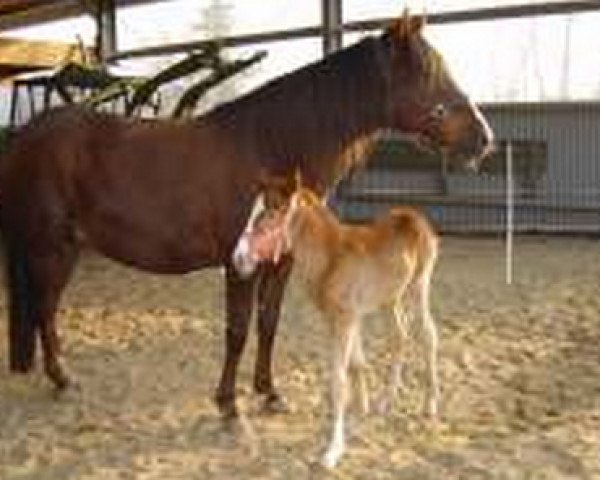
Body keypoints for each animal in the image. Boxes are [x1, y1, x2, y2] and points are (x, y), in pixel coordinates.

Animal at [232, 188, 438, 468]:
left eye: (269, 214)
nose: (238, 259)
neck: (331, 258)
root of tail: (415, 217)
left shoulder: (345, 320)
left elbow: (339, 382)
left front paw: (333, 451)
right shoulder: (341, 320)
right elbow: (356, 365)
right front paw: (361, 413)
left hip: (419, 286)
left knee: (427, 336)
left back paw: (430, 405)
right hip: (390, 299)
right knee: (399, 337)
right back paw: (386, 402)